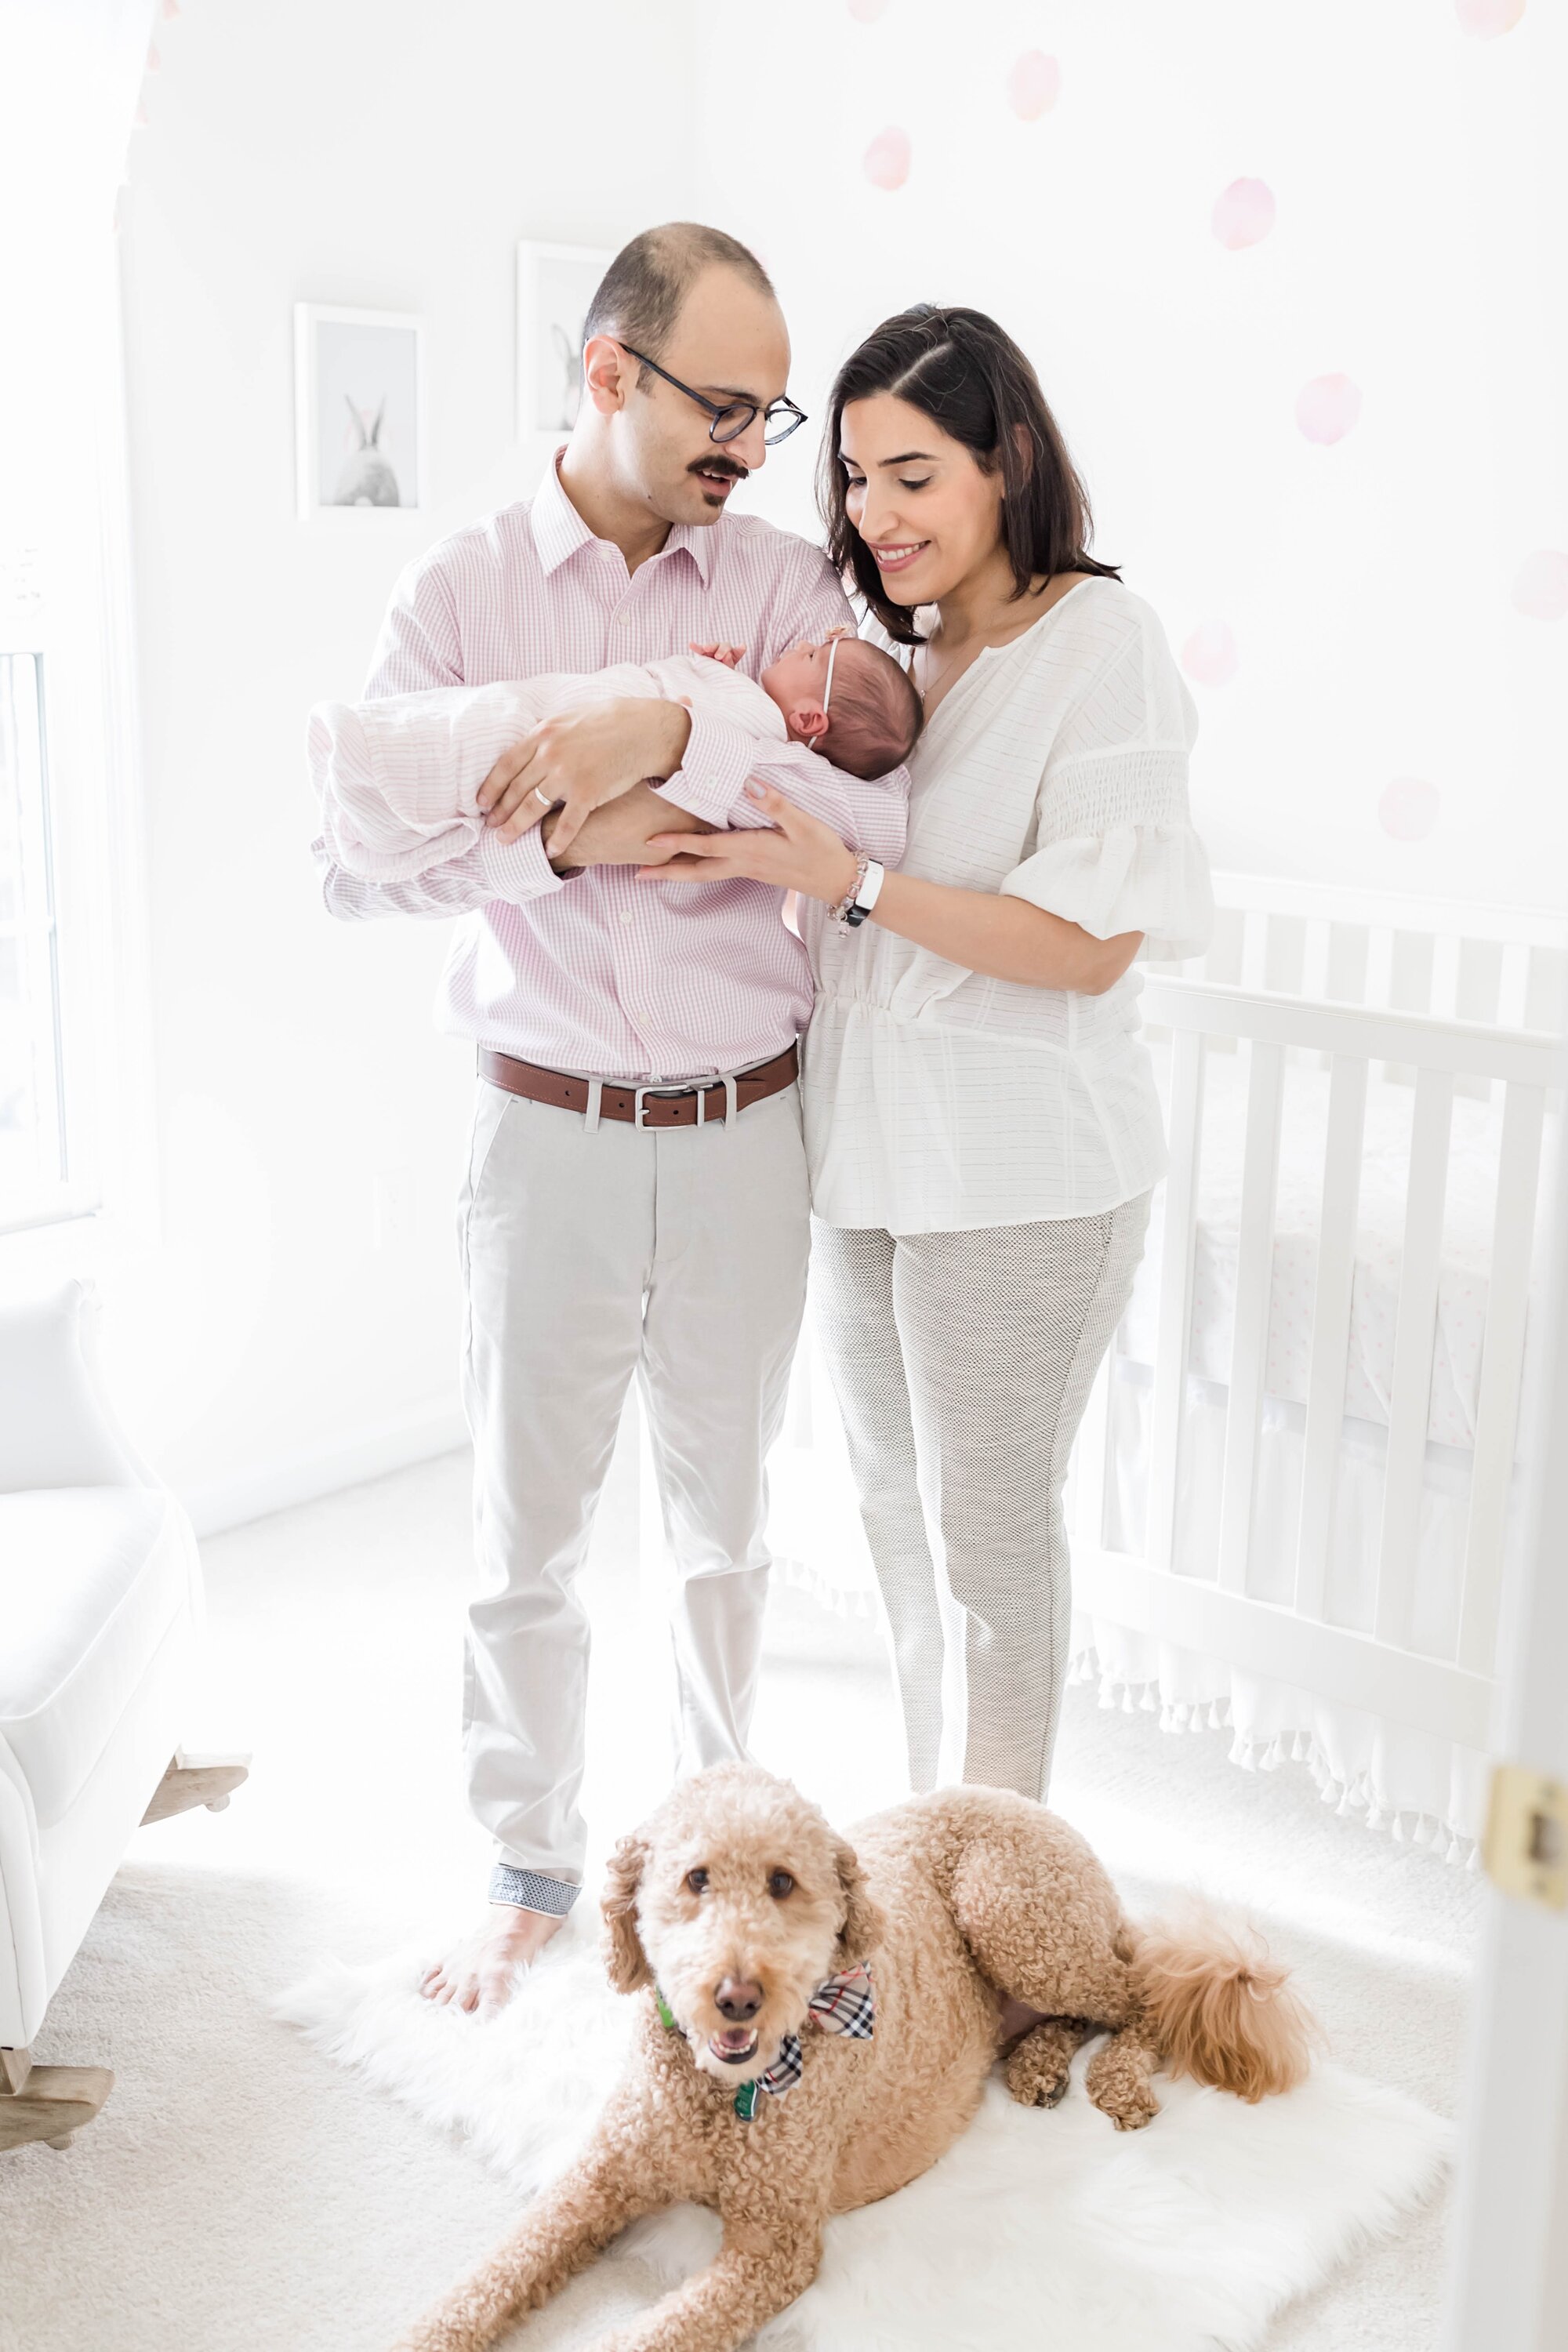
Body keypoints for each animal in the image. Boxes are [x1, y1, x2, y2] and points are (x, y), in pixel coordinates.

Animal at [394, 1769, 1316, 2352]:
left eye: (781, 1882)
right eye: (695, 1879)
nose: (737, 1995)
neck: (721, 2092)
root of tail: (1022, 1800)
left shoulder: (773, 2249)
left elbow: (653, 2334)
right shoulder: (600, 2181)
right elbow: (495, 2273)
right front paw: (426, 2331)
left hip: (1016, 1915)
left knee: (1143, 2001)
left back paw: (1115, 2079)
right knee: (1082, 2012)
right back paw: (1036, 2068)